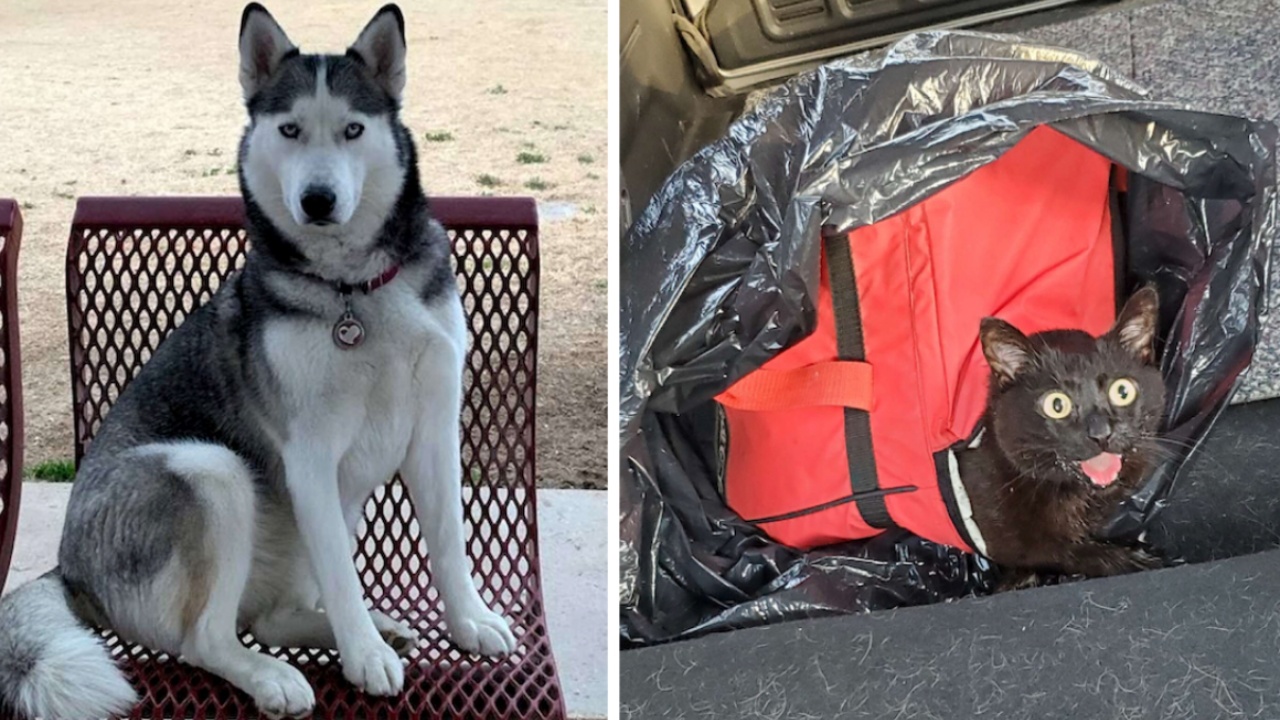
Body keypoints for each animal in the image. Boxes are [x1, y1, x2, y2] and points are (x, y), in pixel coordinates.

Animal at [0, 4, 514, 712]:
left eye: (353, 130)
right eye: (290, 129)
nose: (318, 199)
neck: (354, 292)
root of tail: (68, 569)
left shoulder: (434, 429)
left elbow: (449, 544)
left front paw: (468, 622)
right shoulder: (310, 455)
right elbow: (344, 576)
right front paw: (364, 657)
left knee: (268, 618)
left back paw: (358, 629)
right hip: (210, 471)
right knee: (206, 639)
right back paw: (274, 674)